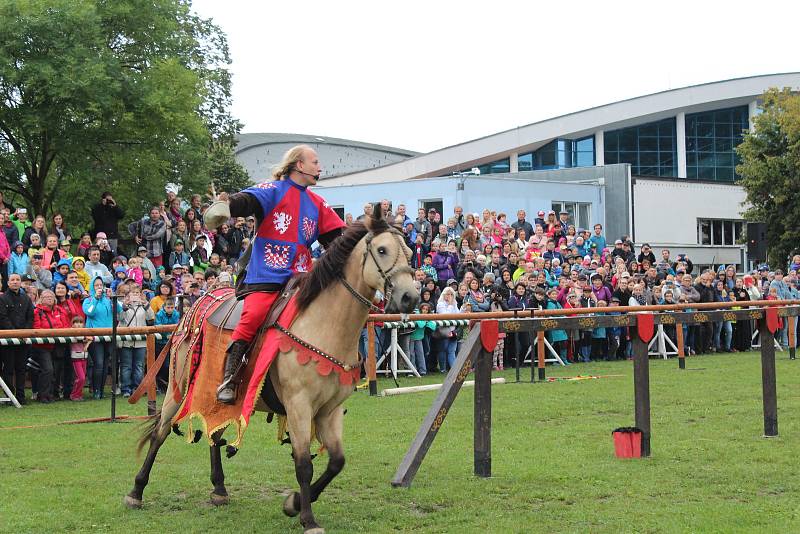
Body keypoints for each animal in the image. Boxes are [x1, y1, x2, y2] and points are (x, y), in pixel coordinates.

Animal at [123, 207, 418, 532]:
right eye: (382, 250)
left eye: (409, 252)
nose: (410, 297)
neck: (323, 324)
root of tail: (200, 301)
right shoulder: (299, 406)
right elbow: (303, 464)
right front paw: (306, 517)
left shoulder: (329, 410)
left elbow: (337, 461)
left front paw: (295, 503)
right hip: (178, 389)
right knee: (159, 433)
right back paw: (136, 491)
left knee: (214, 434)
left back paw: (219, 489)